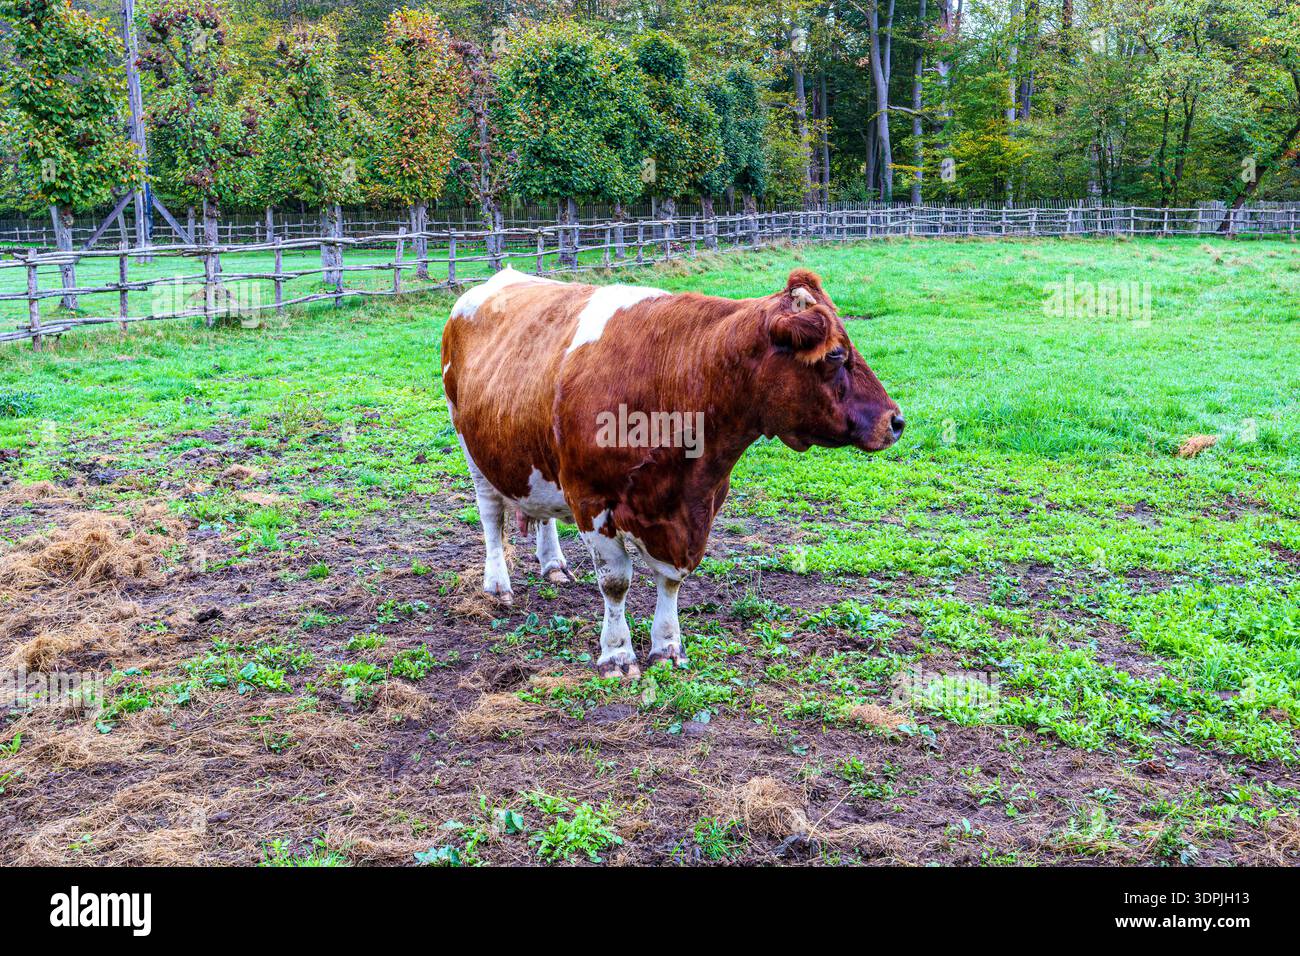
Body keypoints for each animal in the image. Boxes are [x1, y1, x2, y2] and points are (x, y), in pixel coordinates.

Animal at [441, 266, 903, 678]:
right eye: (836, 355)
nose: (896, 421)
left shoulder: (699, 504)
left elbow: (670, 581)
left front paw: (667, 646)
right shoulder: (590, 497)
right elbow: (616, 582)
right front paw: (617, 655)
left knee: (539, 510)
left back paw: (553, 564)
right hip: (471, 446)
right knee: (491, 516)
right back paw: (498, 584)